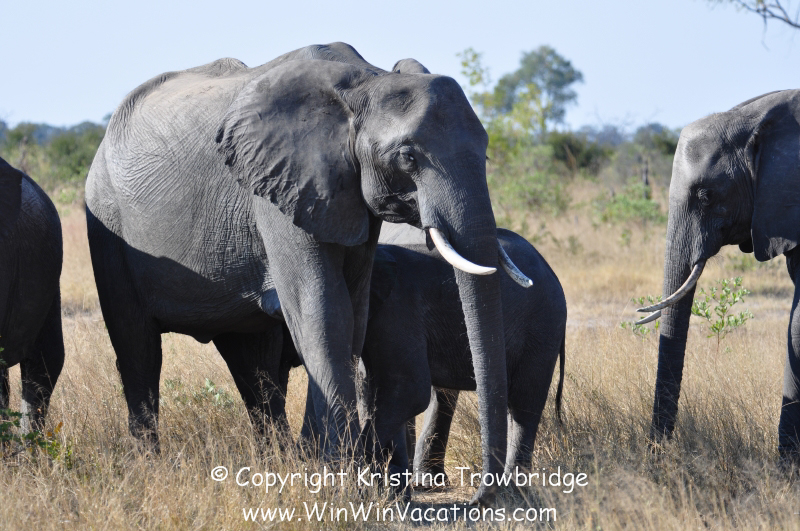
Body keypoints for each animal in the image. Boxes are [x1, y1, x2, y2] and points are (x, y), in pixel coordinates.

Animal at [85, 42, 528, 503]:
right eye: (408, 157)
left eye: (486, 151)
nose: (479, 498)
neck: (365, 82)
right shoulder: (278, 189)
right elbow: (323, 309)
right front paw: (339, 477)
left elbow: (353, 314)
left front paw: (319, 465)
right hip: (108, 218)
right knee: (137, 346)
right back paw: (149, 465)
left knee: (252, 363)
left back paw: (274, 463)